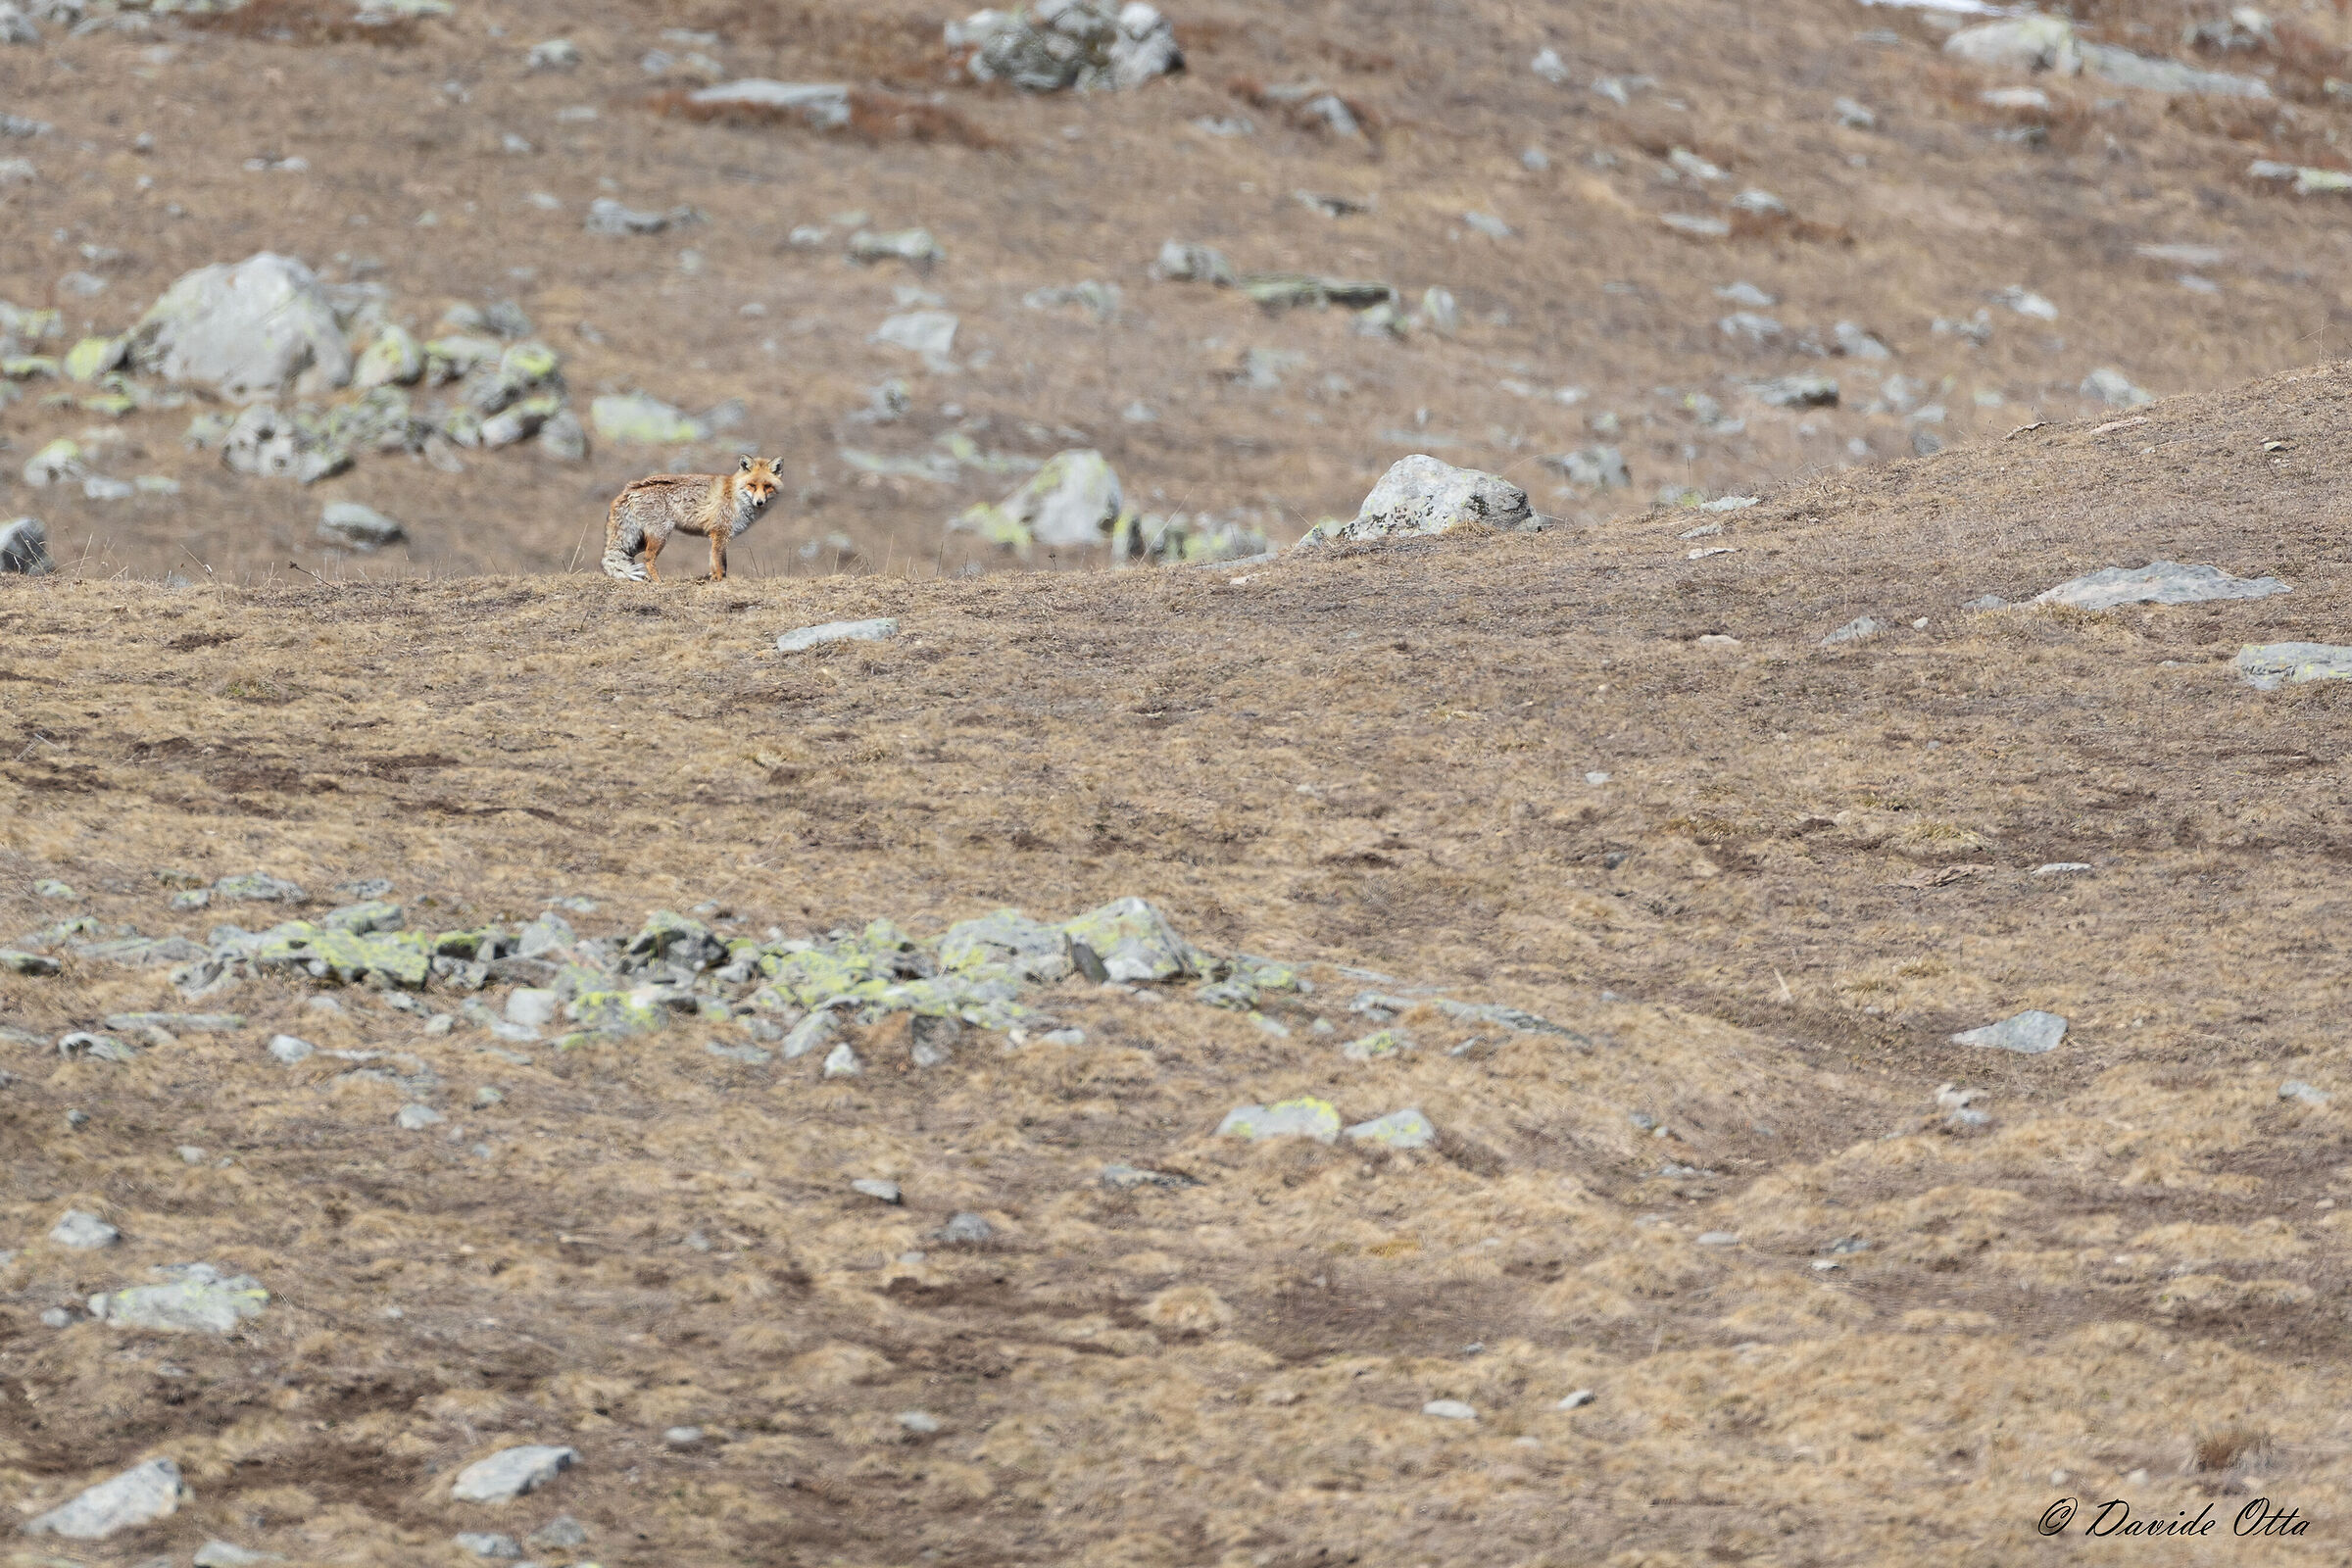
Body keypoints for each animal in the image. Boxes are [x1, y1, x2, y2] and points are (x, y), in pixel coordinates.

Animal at [601, 454, 784, 583]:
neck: (735, 497)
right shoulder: (720, 533)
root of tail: (631, 488)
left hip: (638, 541)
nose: (759, 502)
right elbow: (719, 564)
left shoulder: (718, 536)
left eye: (767, 486)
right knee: (647, 559)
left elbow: (718, 563)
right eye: (752, 485)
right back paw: (659, 582)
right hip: (660, 536)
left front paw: (715, 579)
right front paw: (719, 581)